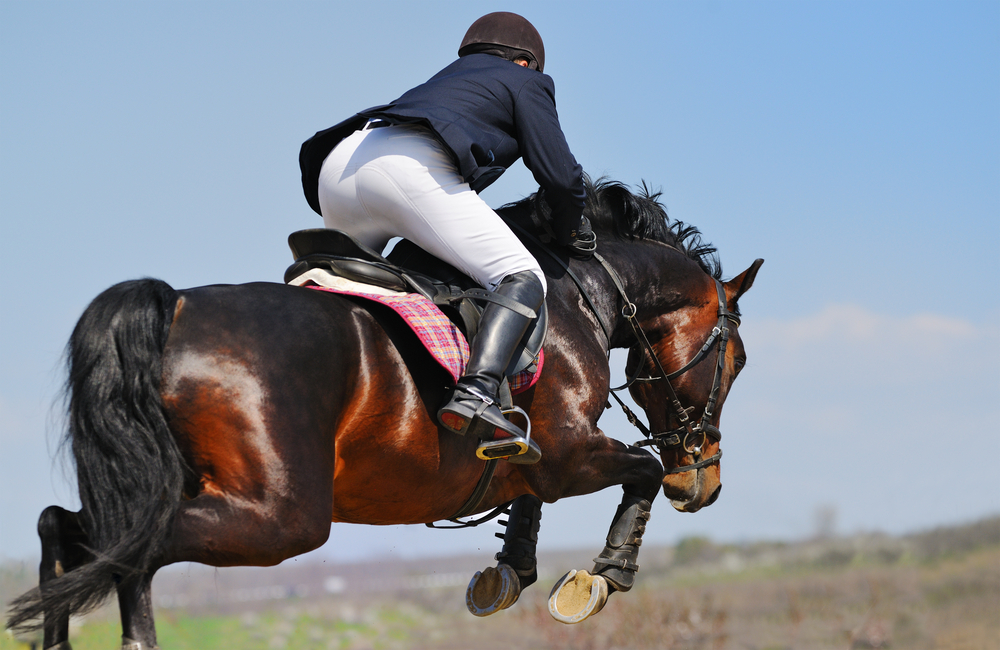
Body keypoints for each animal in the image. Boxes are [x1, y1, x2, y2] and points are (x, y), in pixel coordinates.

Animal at [6, 178, 762, 649]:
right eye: (737, 360)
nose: (702, 484)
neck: (583, 295)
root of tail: (173, 307)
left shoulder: (538, 459)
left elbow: (528, 494)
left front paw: (510, 569)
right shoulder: (572, 452)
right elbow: (639, 471)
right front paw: (600, 579)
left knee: (68, 529)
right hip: (280, 517)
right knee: (128, 547)